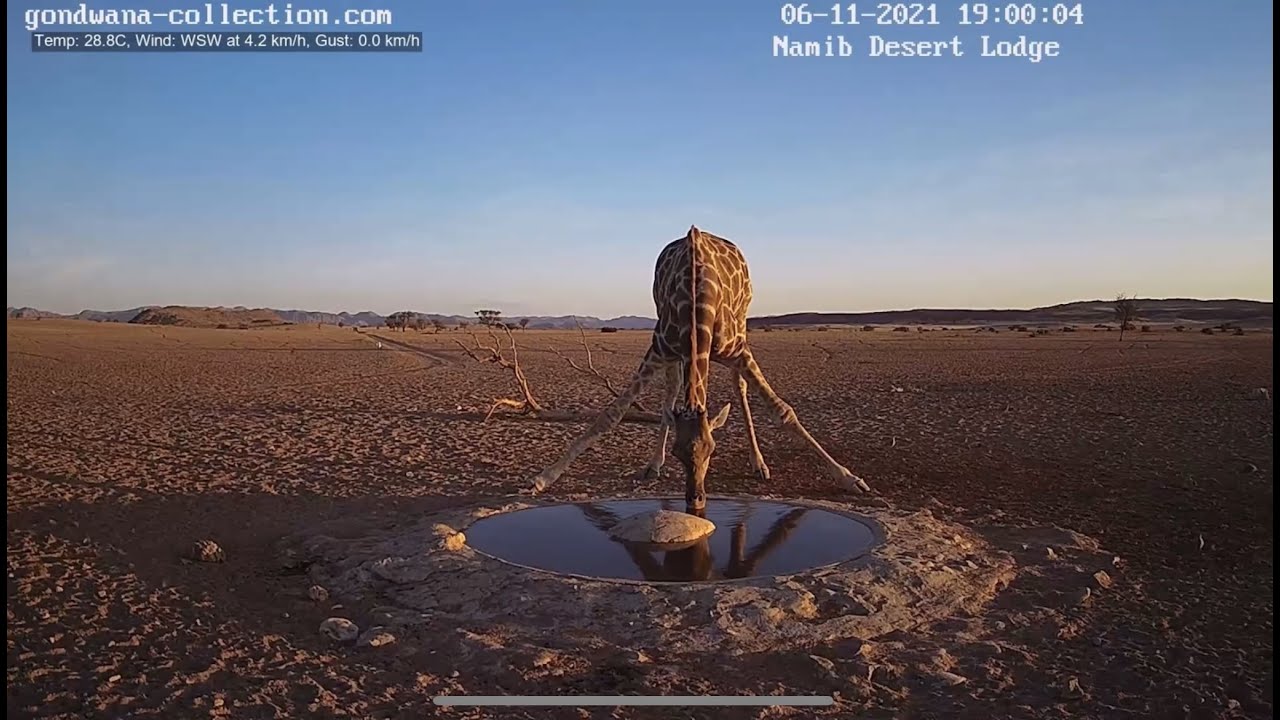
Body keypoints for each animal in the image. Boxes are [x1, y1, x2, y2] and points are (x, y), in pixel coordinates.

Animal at [530, 225, 871, 510]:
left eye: (712, 450)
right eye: (679, 453)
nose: (696, 500)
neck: (695, 300)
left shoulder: (738, 350)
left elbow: (783, 411)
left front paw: (850, 479)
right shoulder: (659, 349)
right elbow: (611, 414)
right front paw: (545, 477)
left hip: (742, 326)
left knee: (739, 387)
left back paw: (759, 463)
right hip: (675, 353)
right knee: (672, 391)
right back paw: (654, 464)